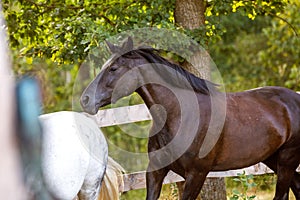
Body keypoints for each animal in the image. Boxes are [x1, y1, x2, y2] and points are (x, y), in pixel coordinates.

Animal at [79, 37, 300, 198]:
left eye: (114, 68)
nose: (85, 100)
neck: (179, 116)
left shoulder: (196, 175)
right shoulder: (155, 171)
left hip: (286, 160)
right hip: (273, 159)